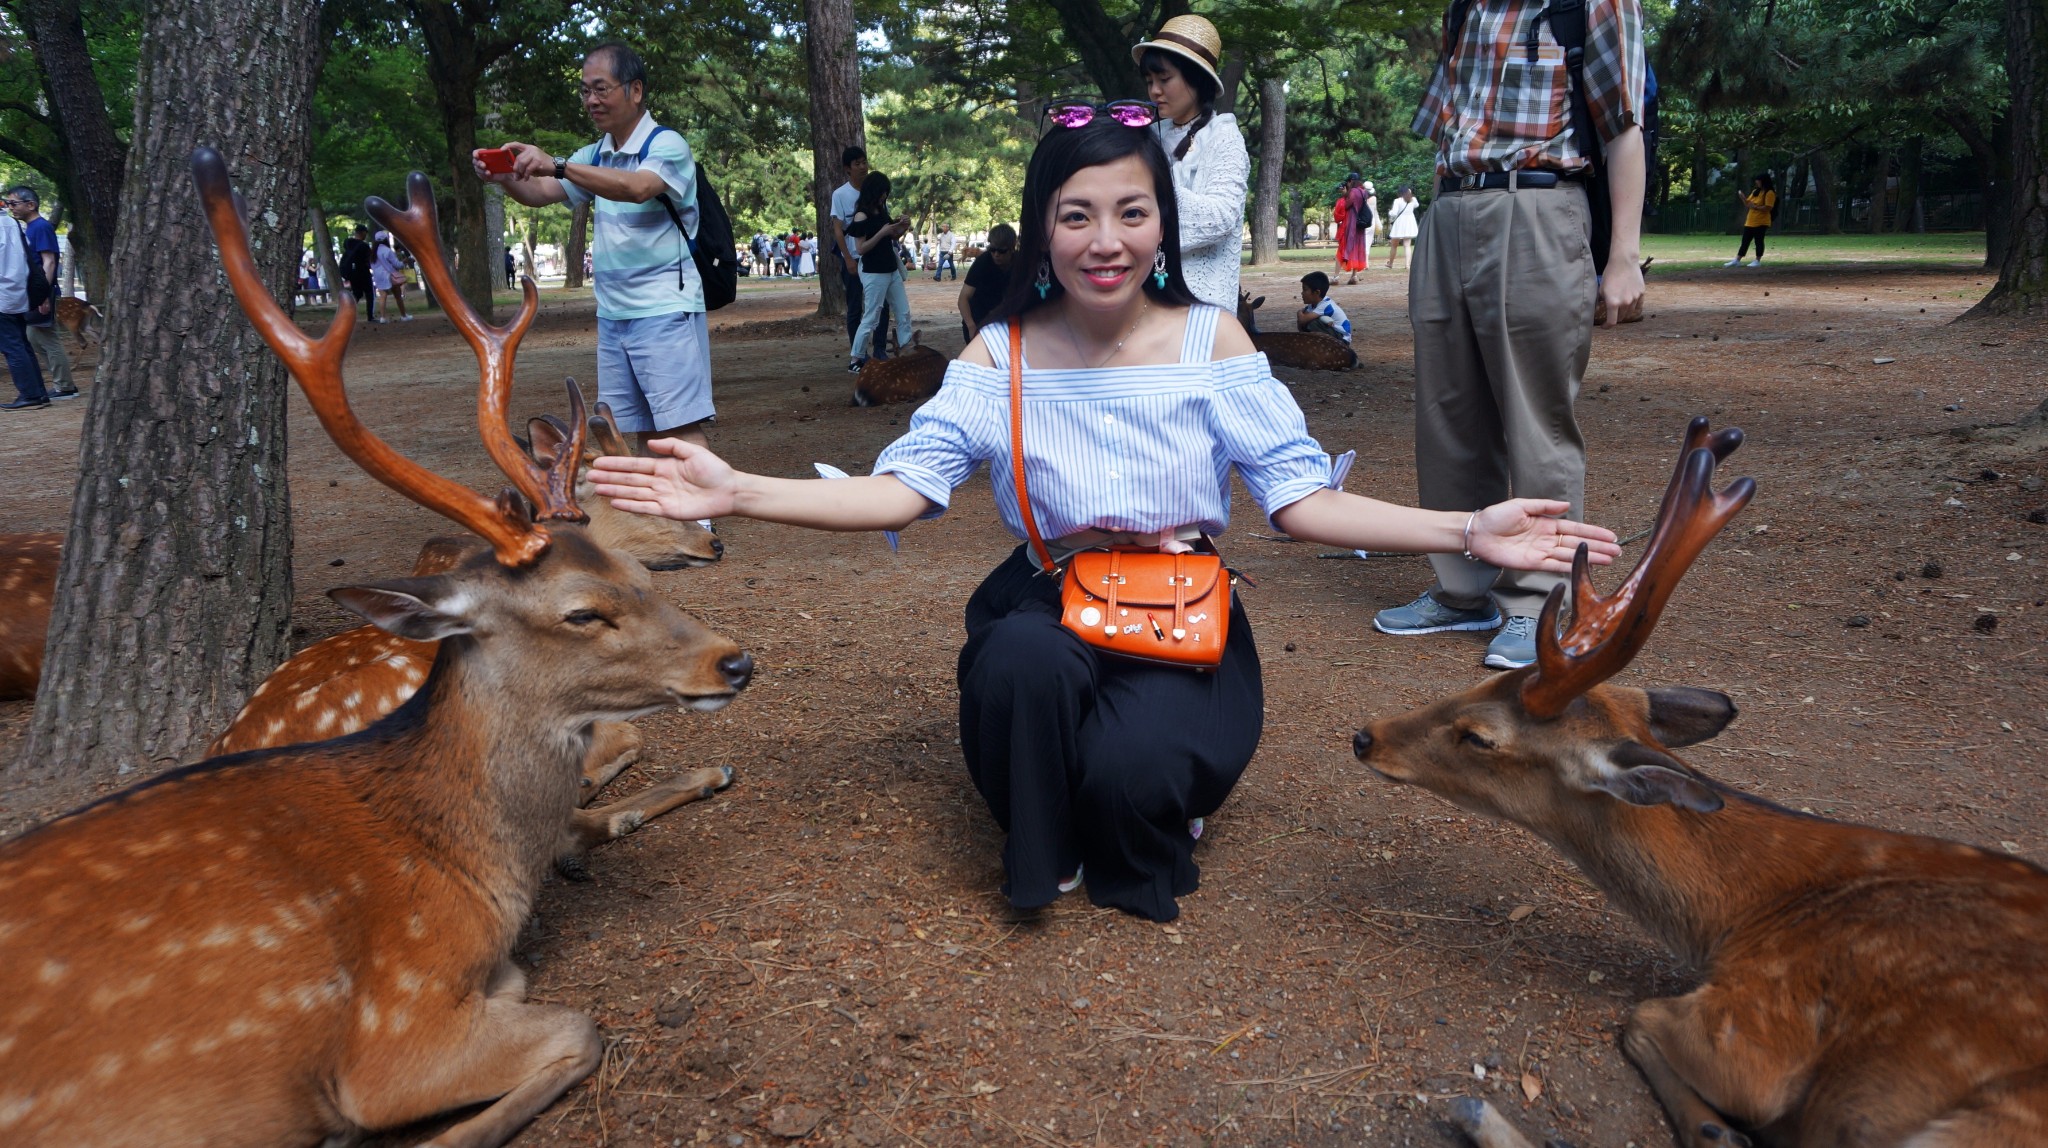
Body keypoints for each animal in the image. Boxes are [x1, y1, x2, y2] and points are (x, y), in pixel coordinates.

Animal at [1359, 419, 2048, 1145]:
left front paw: (1722, 1128)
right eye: (1483, 684)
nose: (1367, 735)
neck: (1737, 918)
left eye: (1479, 736)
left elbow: (1641, 1019)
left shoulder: (1752, 1032)